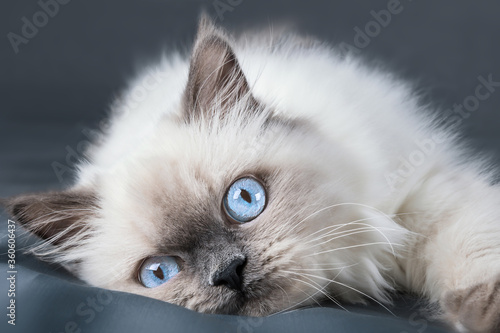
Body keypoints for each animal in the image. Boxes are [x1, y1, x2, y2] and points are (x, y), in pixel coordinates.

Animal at [3, 14, 500, 330]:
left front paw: (487, 315)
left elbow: (475, 253)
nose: (228, 272)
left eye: (244, 199)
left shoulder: (425, 200)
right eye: (159, 273)